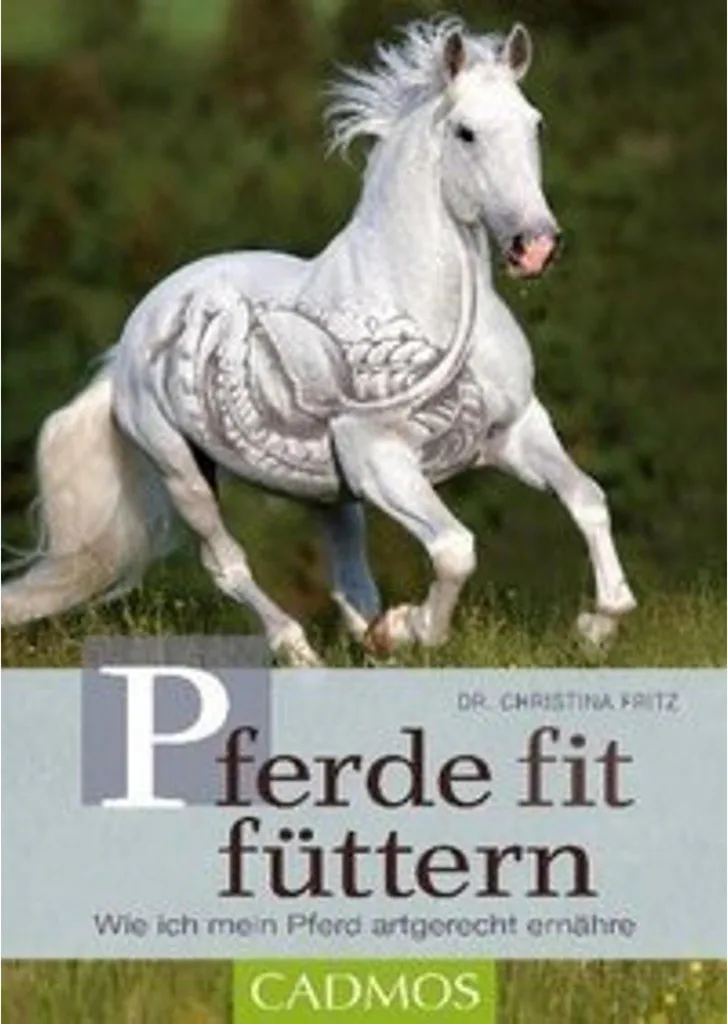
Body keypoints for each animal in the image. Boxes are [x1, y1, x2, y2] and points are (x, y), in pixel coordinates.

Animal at [2, 18, 636, 664]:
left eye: (536, 124)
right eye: (465, 132)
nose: (536, 245)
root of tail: (130, 343)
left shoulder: (516, 430)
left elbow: (587, 499)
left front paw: (596, 627)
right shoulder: (381, 459)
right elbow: (456, 549)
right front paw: (412, 628)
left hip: (325, 493)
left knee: (348, 577)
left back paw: (366, 635)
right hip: (181, 470)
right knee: (228, 564)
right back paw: (301, 651)